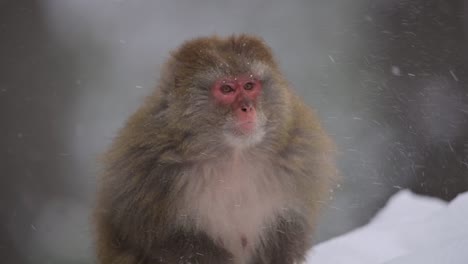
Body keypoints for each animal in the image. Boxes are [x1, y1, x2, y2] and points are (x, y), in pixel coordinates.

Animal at [94, 34, 336, 262]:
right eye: (226, 89)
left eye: (249, 86)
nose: (246, 108)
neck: (235, 155)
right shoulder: (147, 170)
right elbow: (170, 243)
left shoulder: (299, 158)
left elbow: (284, 234)